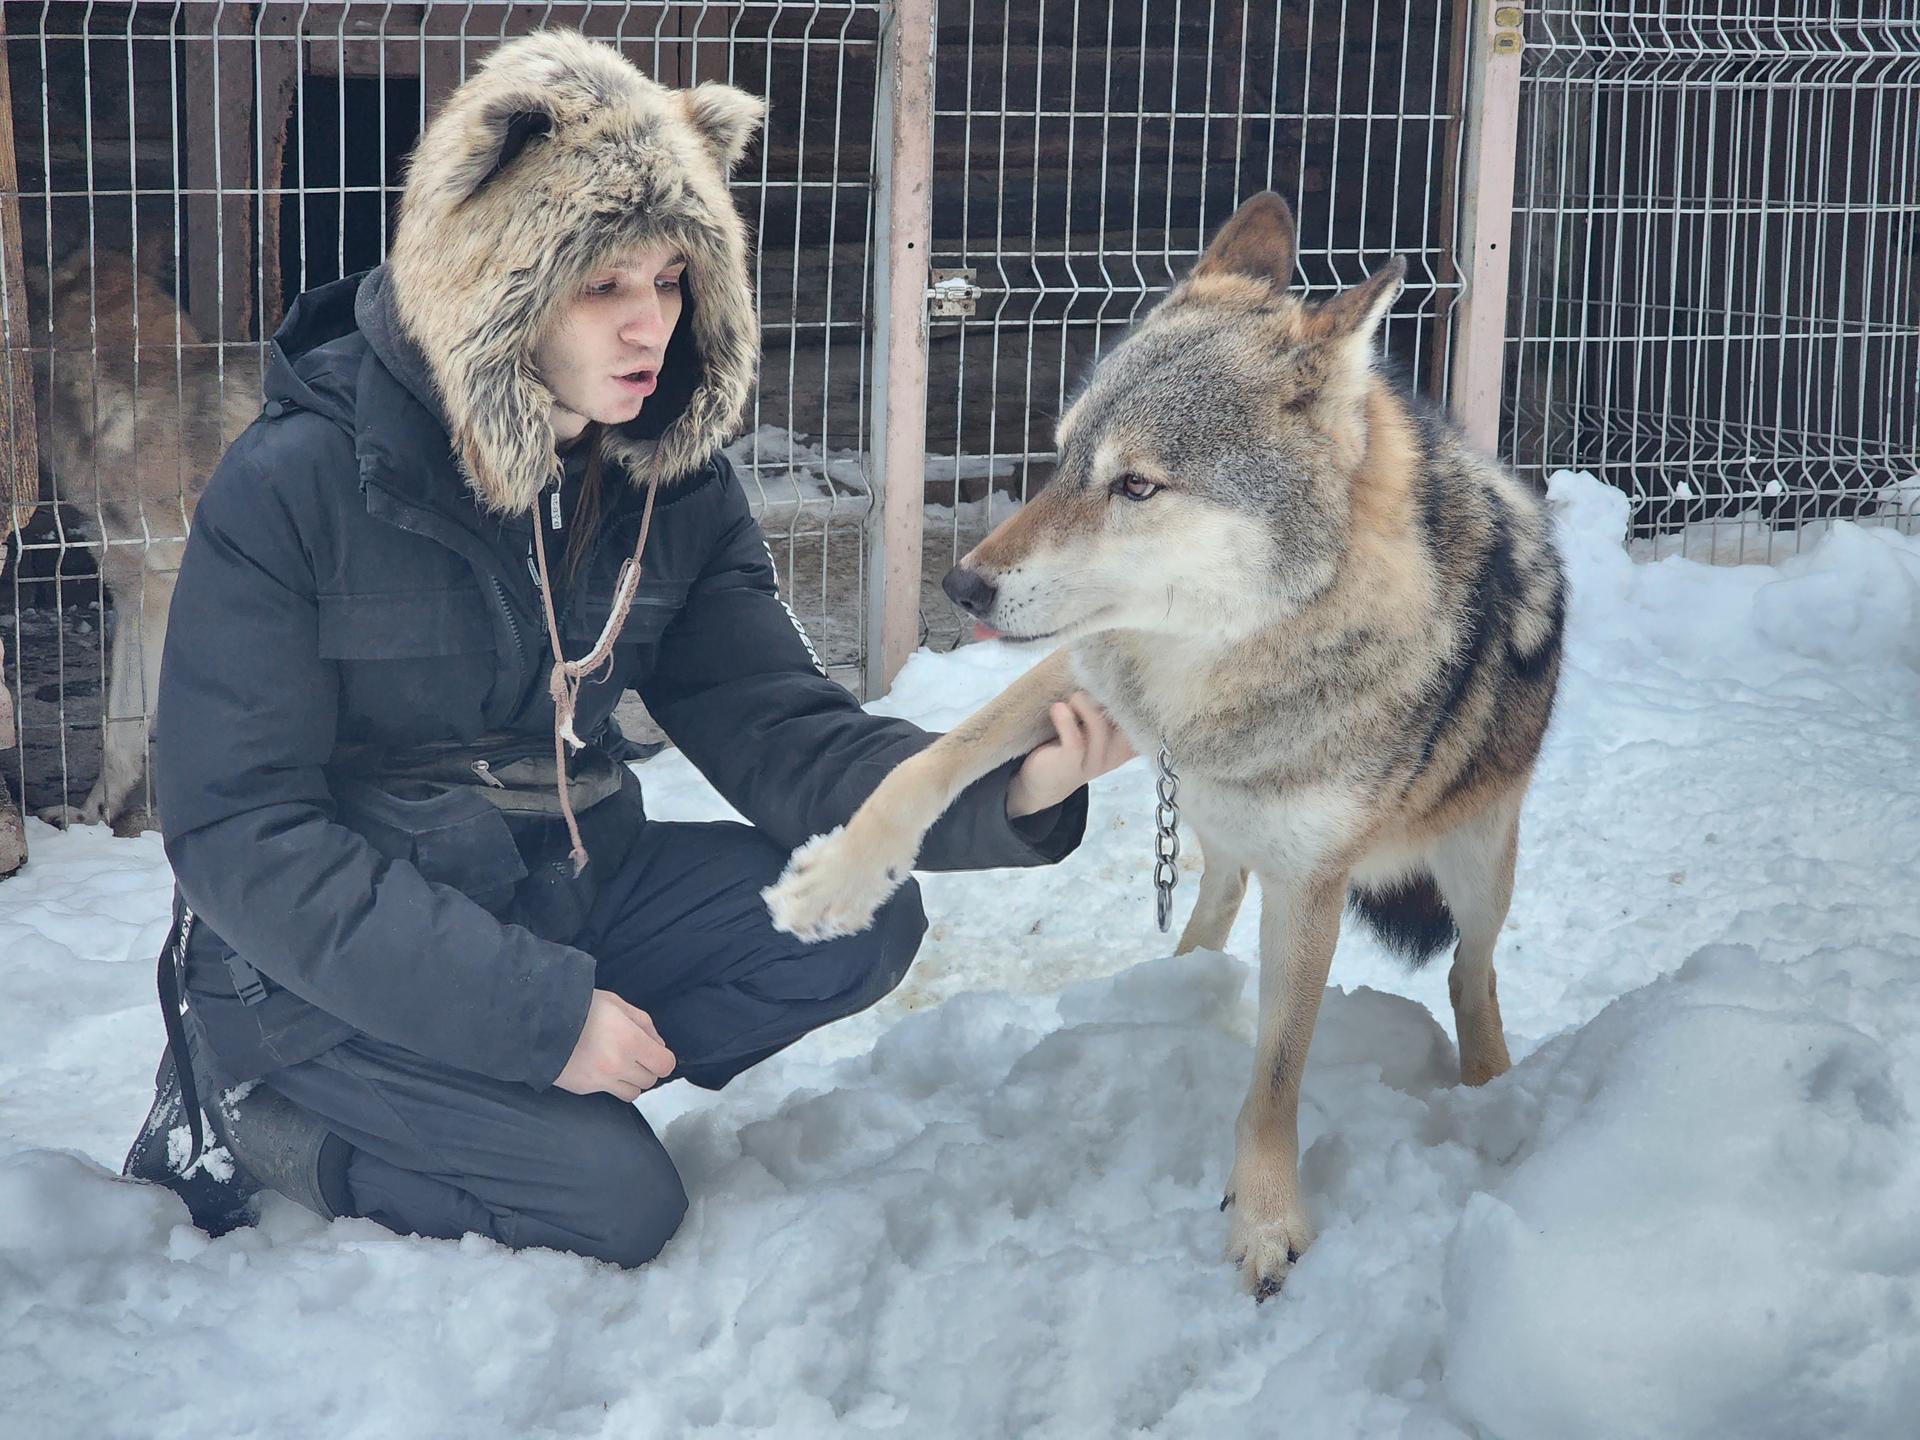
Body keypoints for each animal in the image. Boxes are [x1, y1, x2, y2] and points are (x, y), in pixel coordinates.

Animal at [756, 189, 1566, 1297]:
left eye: (1137, 486)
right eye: (1058, 458)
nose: (961, 586)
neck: (1220, 672)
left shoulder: (1314, 883)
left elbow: (1277, 1075)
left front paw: (1266, 1223)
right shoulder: (1084, 676)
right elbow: (927, 763)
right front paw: (834, 882)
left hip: (1477, 863)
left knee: (1467, 975)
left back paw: (1491, 1093)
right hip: (1223, 826)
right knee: (1217, 891)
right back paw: (1174, 983)